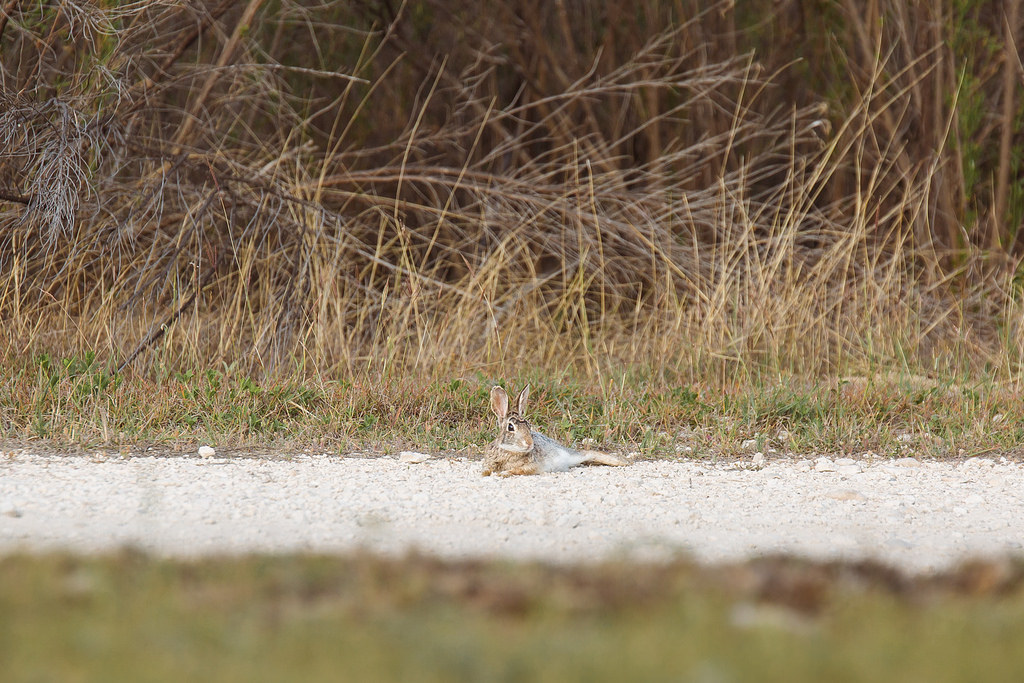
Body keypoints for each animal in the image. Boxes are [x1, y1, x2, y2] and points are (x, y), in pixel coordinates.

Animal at [481, 385, 630, 475]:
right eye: (510, 427)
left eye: (529, 426)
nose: (530, 444)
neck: (508, 450)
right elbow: (487, 470)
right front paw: (485, 474)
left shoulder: (532, 466)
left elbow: (518, 470)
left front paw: (504, 473)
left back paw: (624, 462)